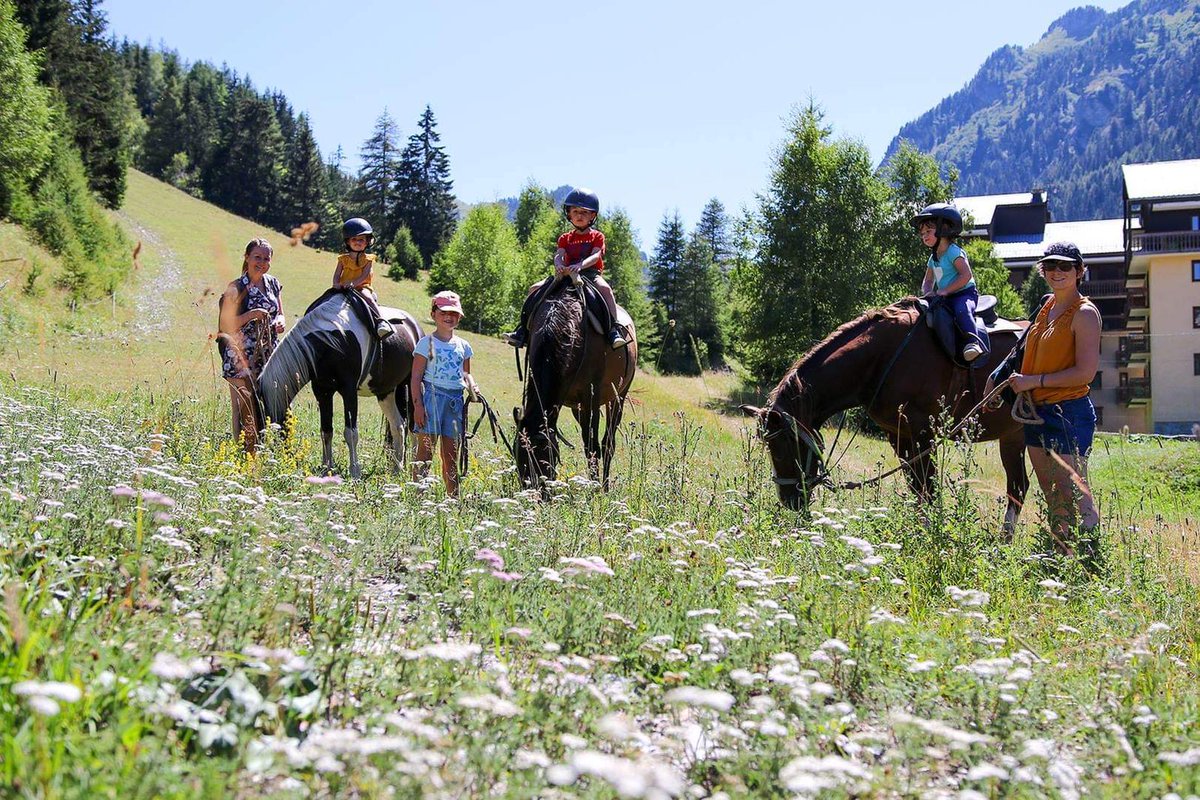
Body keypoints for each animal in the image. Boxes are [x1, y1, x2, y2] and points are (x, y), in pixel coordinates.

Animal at [256, 289, 423, 478]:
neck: (331, 340)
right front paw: (327, 467)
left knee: (413, 428)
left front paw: (355, 471)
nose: (267, 460)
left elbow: (351, 433)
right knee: (398, 426)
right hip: (386, 392)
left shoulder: (348, 391)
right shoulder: (322, 391)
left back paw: (414, 468)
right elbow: (326, 430)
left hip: (410, 388)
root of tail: (415, 328)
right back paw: (396, 469)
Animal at [515, 276, 637, 490]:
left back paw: (605, 486)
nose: (532, 494)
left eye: (543, 459)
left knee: (608, 444)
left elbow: (592, 446)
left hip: (618, 397)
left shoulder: (591, 399)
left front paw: (596, 490)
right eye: (518, 458)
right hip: (577, 407)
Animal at [741, 297, 1030, 533]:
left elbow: (927, 488)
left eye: (781, 449)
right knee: (1018, 487)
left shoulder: (922, 435)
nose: (789, 500)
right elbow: (916, 488)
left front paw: (928, 536)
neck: (883, 358)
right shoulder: (898, 436)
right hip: (1013, 435)